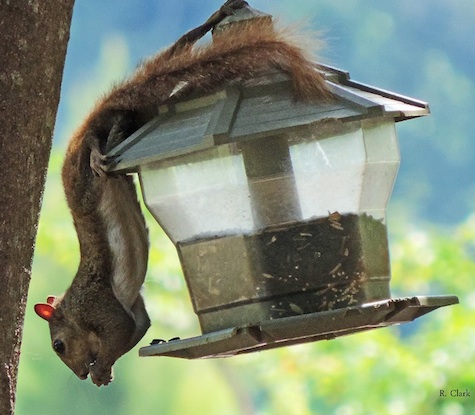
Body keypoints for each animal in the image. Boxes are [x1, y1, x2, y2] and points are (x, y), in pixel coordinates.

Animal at [34, 0, 330, 388]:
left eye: (59, 345)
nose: (82, 374)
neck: (74, 305)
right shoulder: (134, 308)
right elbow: (139, 328)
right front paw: (106, 370)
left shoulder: (100, 307)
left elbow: (121, 330)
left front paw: (102, 369)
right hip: (145, 104)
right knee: (176, 54)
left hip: (88, 169)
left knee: (99, 139)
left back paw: (101, 151)